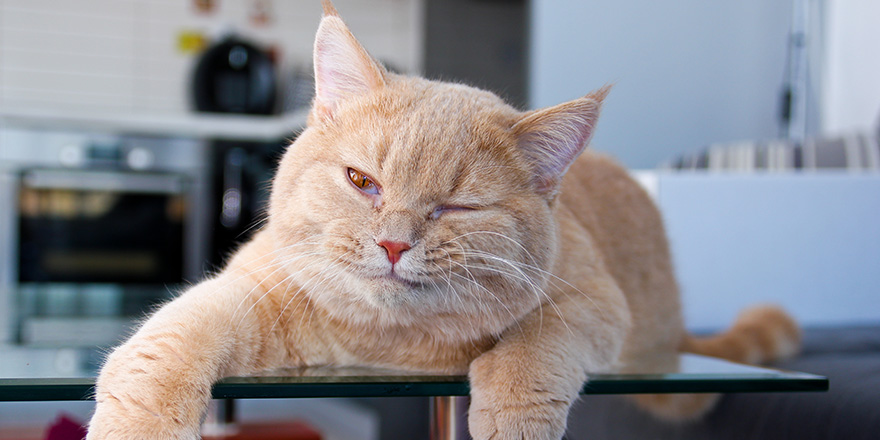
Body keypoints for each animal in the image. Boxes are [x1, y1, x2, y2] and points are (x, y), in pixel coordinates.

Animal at [86, 1, 800, 438]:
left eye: (456, 207)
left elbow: (535, 349)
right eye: (362, 182)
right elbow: (161, 351)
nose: (393, 244)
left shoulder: (594, 305)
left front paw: (511, 415)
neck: (383, 346)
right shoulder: (243, 291)